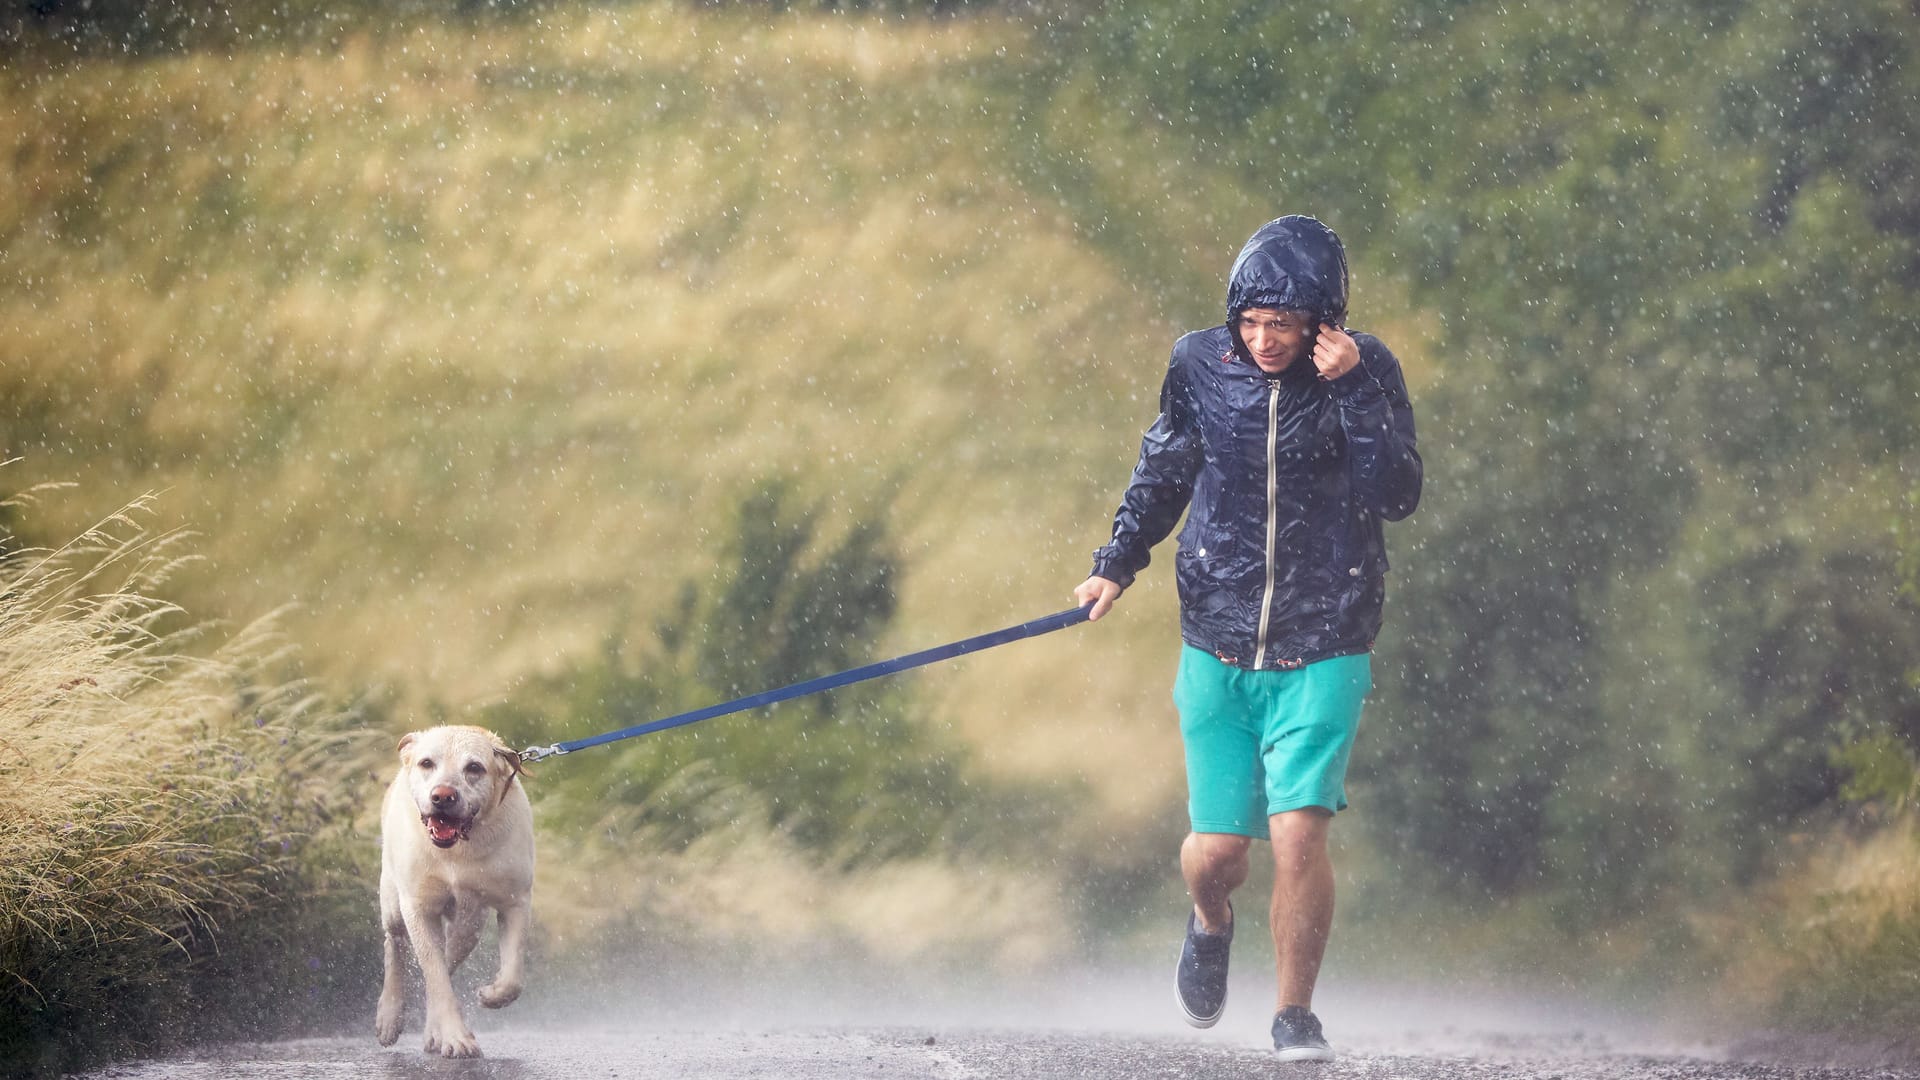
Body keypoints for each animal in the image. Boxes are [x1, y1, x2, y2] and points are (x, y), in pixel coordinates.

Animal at [372, 718, 533, 1053]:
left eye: (474, 767)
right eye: (426, 763)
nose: (443, 796)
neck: (458, 851)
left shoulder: (516, 900)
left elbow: (513, 976)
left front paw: (492, 995)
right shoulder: (418, 907)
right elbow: (435, 975)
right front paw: (455, 1036)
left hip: (470, 924)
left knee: (452, 951)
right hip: (393, 903)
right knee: (395, 944)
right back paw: (389, 1016)